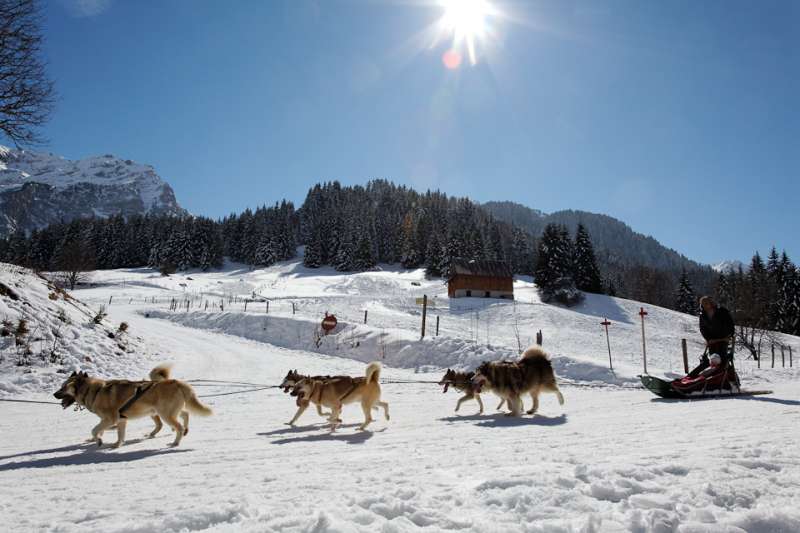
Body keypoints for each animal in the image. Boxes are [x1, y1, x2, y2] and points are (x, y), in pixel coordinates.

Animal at [54, 364, 214, 446]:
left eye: (63, 387)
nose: (54, 394)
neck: (94, 391)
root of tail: (177, 382)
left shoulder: (110, 419)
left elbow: (94, 430)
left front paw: (98, 440)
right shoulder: (119, 421)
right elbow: (115, 434)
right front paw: (115, 444)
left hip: (165, 414)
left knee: (178, 425)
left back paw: (175, 442)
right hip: (167, 411)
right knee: (185, 414)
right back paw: (185, 430)